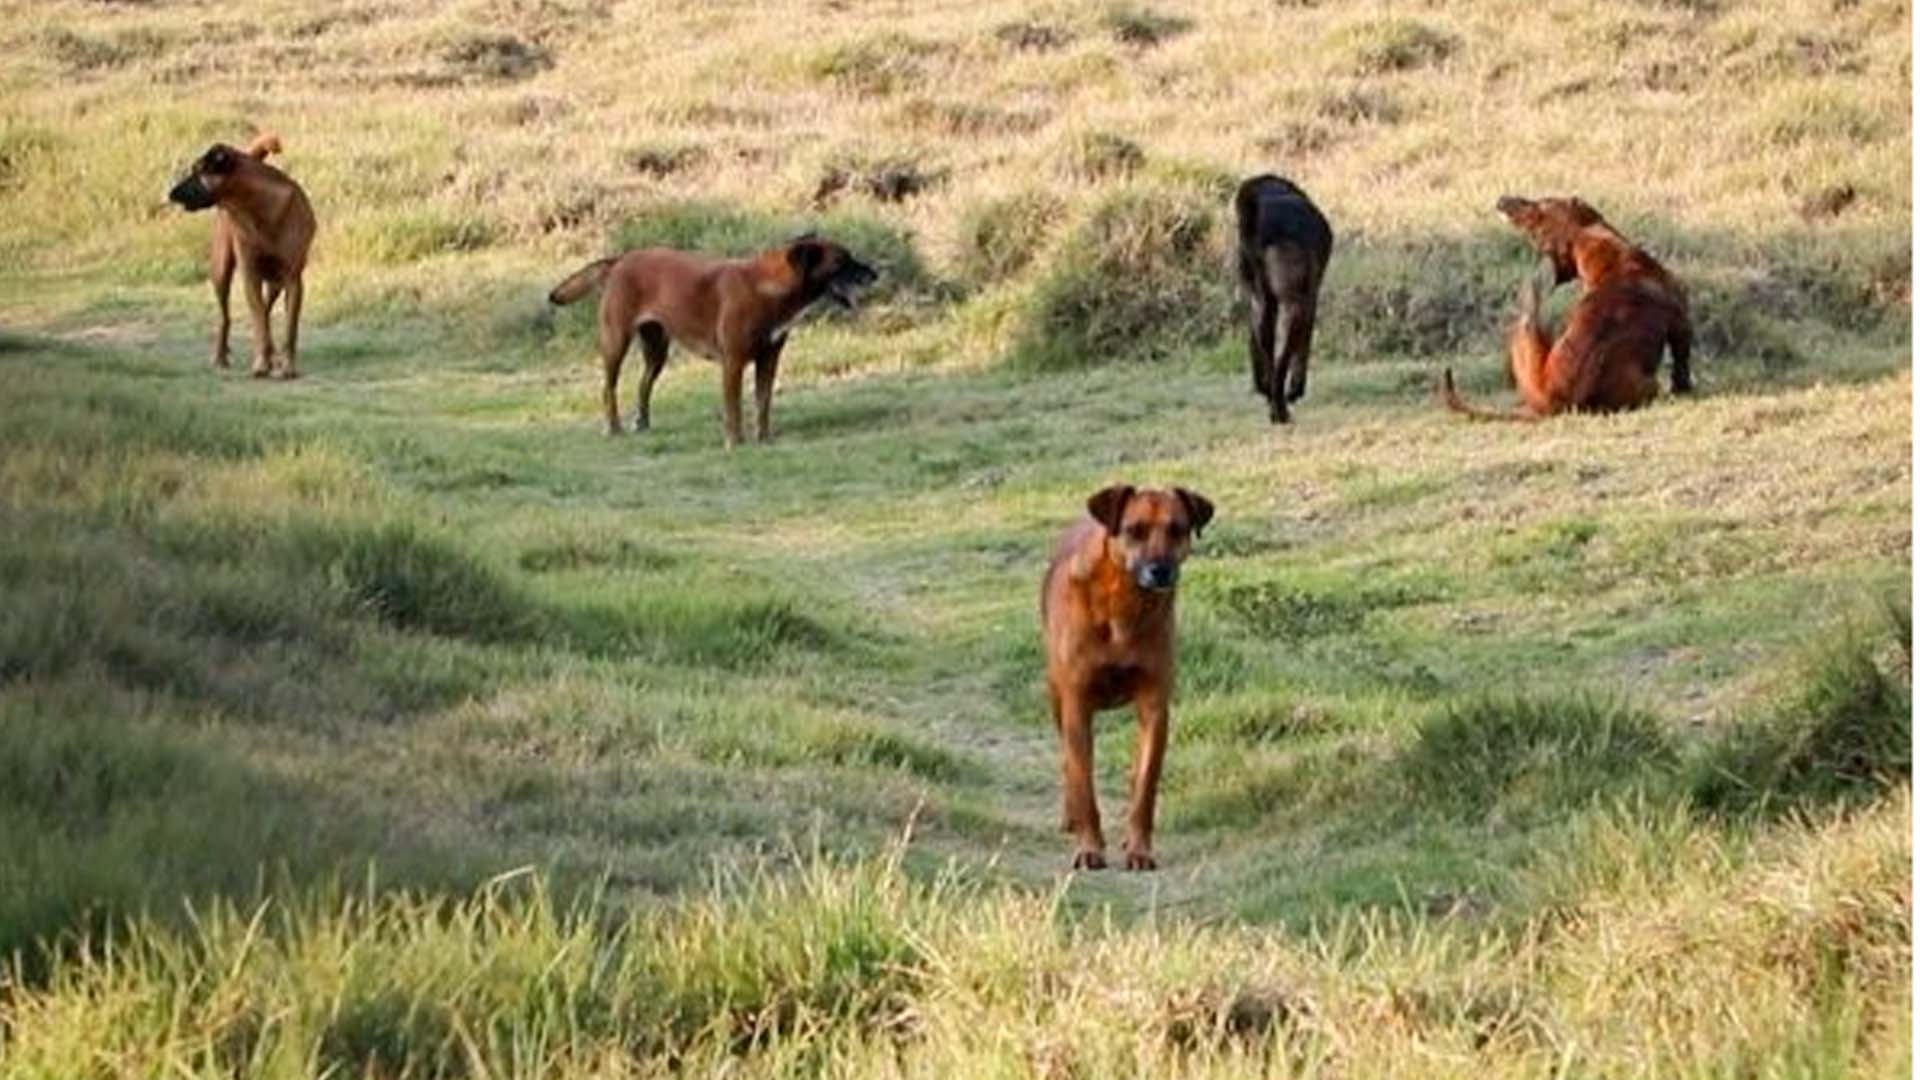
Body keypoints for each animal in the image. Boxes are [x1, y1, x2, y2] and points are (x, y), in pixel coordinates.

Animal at [168, 133, 314, 378]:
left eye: (198, 171)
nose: (170, 194)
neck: (258, 208)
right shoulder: (250, 274)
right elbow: (259, 322)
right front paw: (261, 363)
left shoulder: (293, 280)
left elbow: (289, 329)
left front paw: (287, 365)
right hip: (220, 271)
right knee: (225, 317)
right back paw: (221, 356)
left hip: (276, 283)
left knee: (266, 310)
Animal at [549, 233, 879, 443]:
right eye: (841, 262)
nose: (875, 274)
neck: (766, 288)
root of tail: (619, 260)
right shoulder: (733, 363)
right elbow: (734, 408)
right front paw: (735, 442)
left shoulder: (768, 360)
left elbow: (763, 402)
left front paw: (764, 438)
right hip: (615, 341)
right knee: (609, 388)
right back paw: (613, 428)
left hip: (656, 350)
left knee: (643, 385)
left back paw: (642, 423)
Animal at [1036, 484, 1213, 868]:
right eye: (1135, 530)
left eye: (1178, 529)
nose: (1160, 570)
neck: (1125, 605)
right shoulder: (1076, 705)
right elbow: (1083, 783)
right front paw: (1089, 847)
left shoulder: (1154, 705)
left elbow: (1145, 785)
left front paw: (1139, 848)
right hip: (1056, 695)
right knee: (1067, 761)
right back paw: (1070, 818)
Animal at [1228, 174, 1336, 422]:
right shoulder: (1310, 296)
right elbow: (1304, 344)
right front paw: (1296, 389)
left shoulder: (1255, 298)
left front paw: (1262, 387)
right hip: (1295, 303)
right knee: (1283, 356)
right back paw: (1280, 408)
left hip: (1263, 300)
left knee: (1264, 342)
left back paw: (1271, 398)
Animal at [1443, 194, 1697, 420]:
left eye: (1541, 206)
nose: (1502, 202)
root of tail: (1554, 403)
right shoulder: (1681, 324)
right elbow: (1681, 365)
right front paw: (1684, 389)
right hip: (1649, 383)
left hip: (1528, 333)